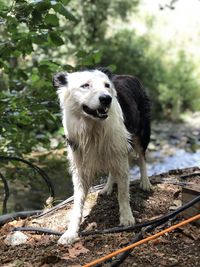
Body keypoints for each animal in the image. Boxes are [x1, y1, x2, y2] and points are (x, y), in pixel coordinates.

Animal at [52, 67, 152, 245]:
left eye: (106, 85)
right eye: (85, 85)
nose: (107, 99)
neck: (93, 127)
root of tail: (129, 75)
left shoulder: (120, 152)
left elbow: (123, 193)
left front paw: (127, 218)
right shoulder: (80, 166)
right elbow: (77, 203)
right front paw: (71, 232)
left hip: (140, 134)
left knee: (142, 158)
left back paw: (145, 182)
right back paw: (107, 187)